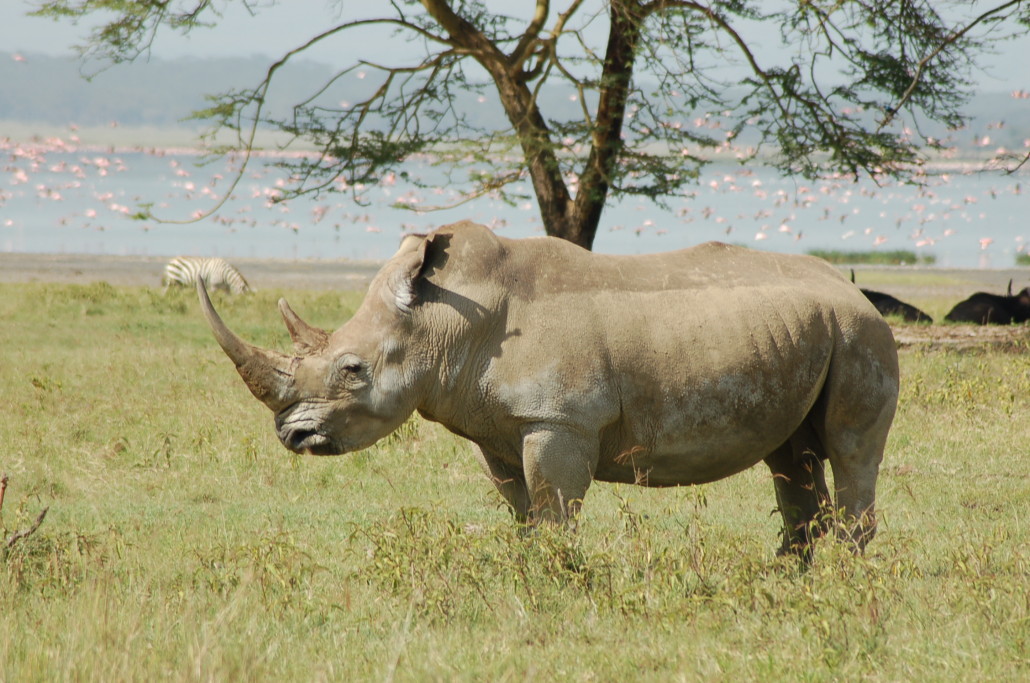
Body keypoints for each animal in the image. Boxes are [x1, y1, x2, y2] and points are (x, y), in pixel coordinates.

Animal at [199, 221, 899, 557]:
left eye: (352, 370)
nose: (294, 436)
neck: (447, 322)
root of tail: (854, 290)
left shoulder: (559, 421)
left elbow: (556, 513)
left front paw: (562, 585)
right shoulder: (497, 427)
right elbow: (526, 516)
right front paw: (531, 577)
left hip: (862, 333)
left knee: (849, 448)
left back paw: (843, 584)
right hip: (807, 330)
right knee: (792, 458)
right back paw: (787, 582)